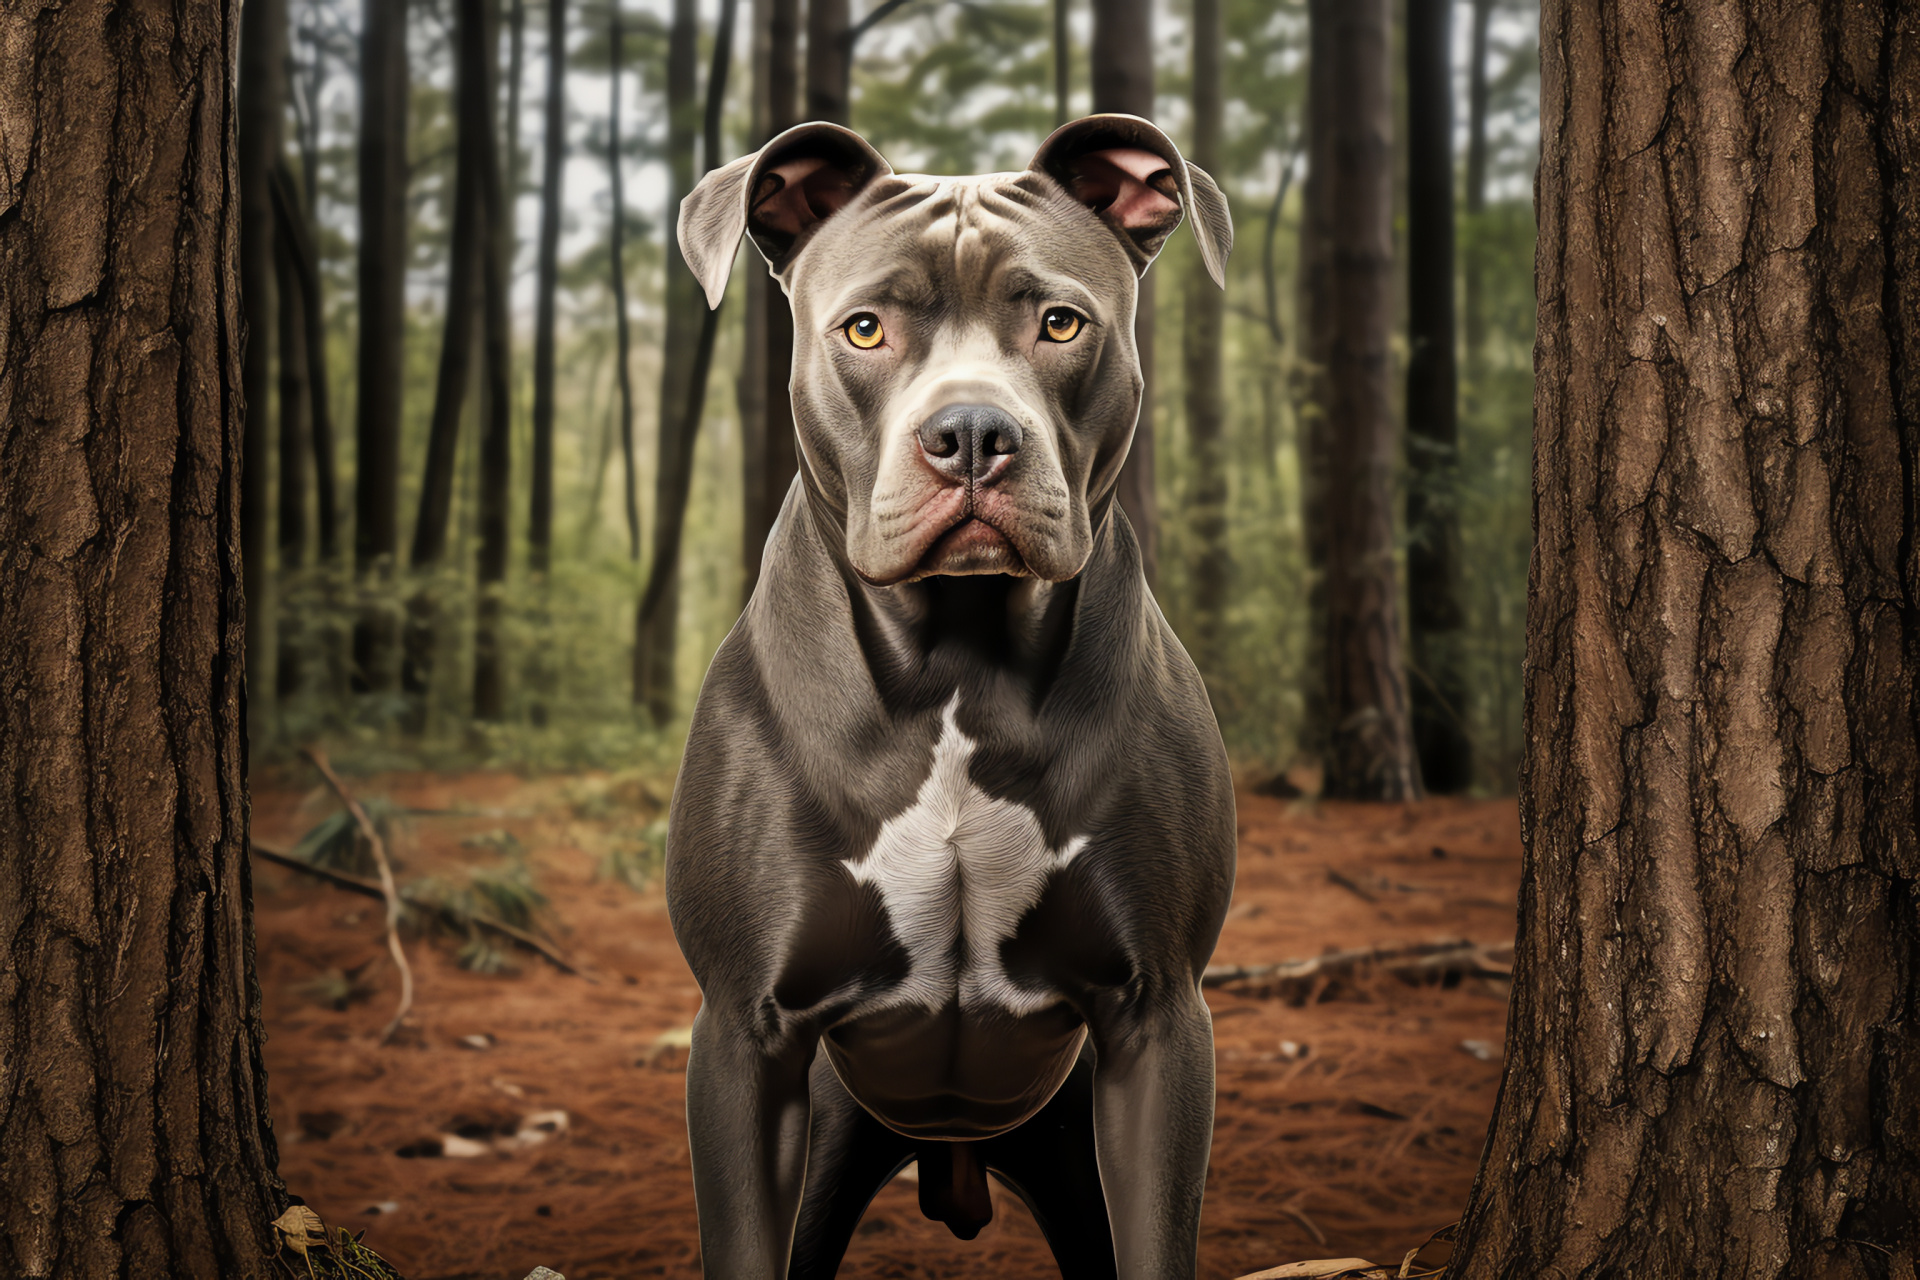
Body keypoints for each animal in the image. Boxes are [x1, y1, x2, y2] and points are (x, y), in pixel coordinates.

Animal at [668, 115, 1236, 1274]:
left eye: (1061, 322)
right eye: (866, 329)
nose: (974, 432)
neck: (958, 674)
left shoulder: (1158, 1021)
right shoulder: (744, 1038)